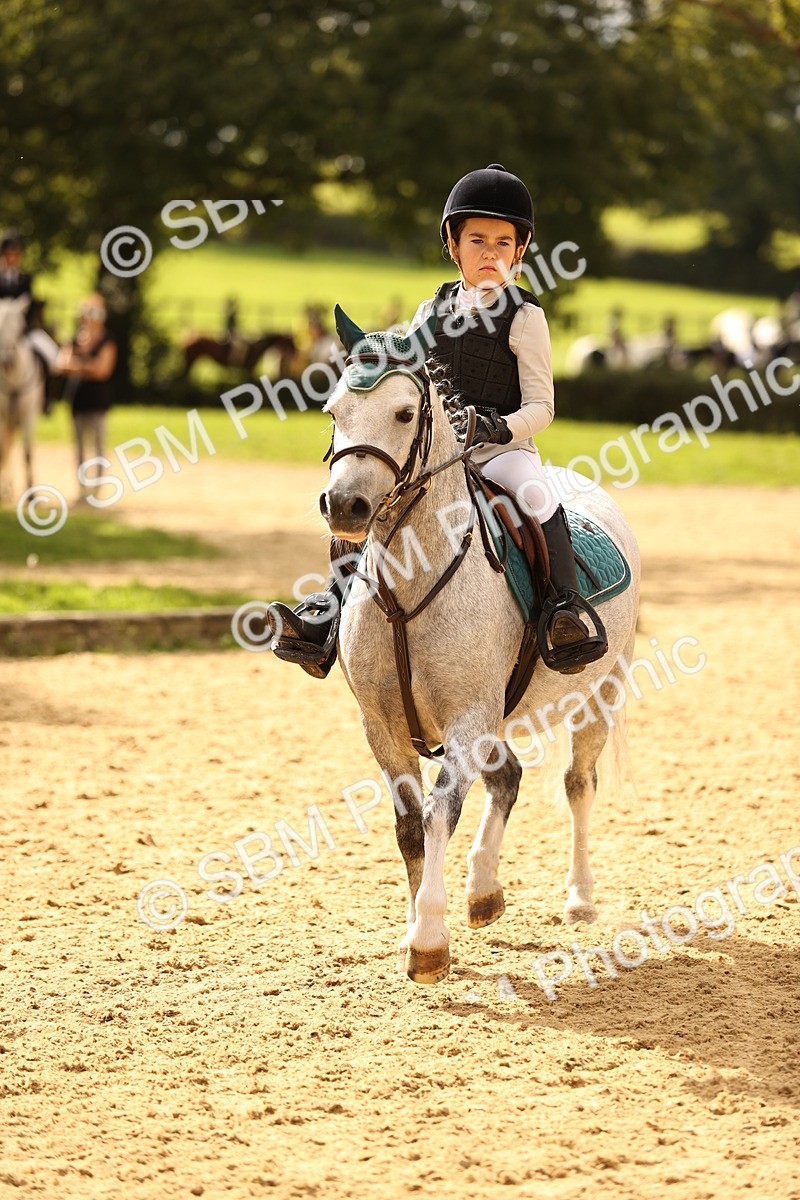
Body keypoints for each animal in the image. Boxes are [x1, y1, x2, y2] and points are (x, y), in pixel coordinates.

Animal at [318, 309, 641, 985]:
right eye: (334, 410)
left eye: (404, 413)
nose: (345, 506)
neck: (410, 577)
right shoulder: (383, 725)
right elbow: (409, 826)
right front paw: (415, 928)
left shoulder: (466, 720)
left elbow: (440, 814)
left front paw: (428, 940)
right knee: (510, 778)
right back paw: (484, 890)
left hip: (600, 693)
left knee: (578, 784)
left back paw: (579, 897)